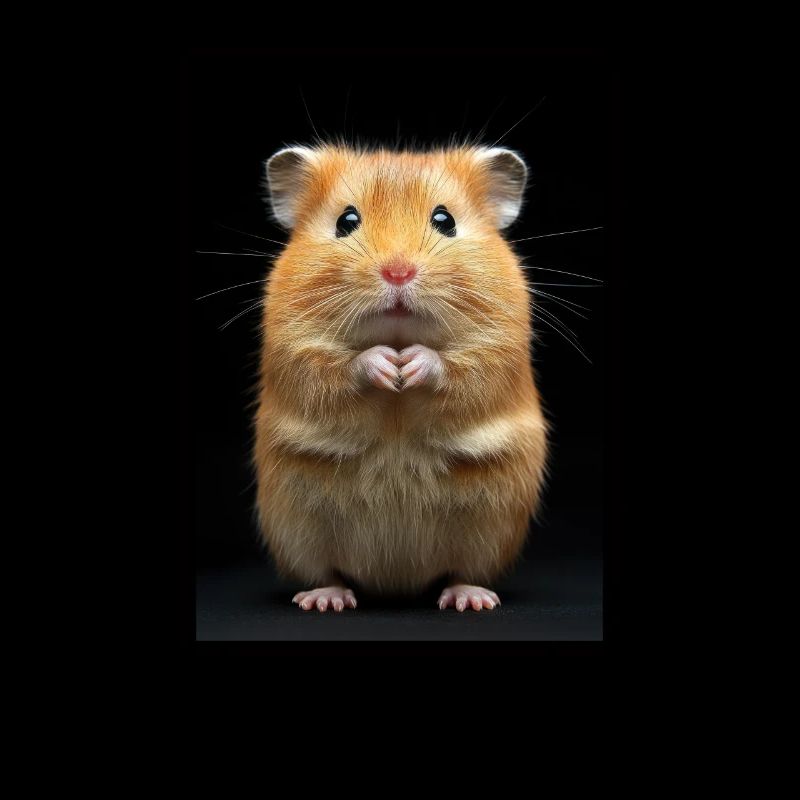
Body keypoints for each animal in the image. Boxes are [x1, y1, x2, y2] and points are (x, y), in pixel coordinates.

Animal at [254, 144, 548, 612]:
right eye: (346, 221)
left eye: (444, 220)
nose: (397, 272)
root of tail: (395, 584)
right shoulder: (293, 345)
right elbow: (331, 367)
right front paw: (386, 367)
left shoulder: (499, 347)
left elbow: (465, 368)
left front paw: (409, 365)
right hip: (296, 527)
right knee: (327, 572)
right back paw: (326, 599)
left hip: (491, 528)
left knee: (462, 572)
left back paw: (470, 599)